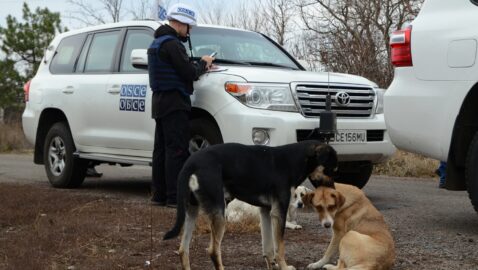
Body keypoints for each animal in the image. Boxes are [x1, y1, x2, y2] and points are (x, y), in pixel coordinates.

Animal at [164, 141, 340, 270]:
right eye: (331, 170)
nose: (335, 190)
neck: (293, 161)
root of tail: (190, 163)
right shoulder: (279, 212)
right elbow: (280, 247)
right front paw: (284, 266)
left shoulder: (266, 212)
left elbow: (268, 248)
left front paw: (272, 265)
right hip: (219, 213)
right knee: (213, 251)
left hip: (191, 211)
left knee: (183, 250)